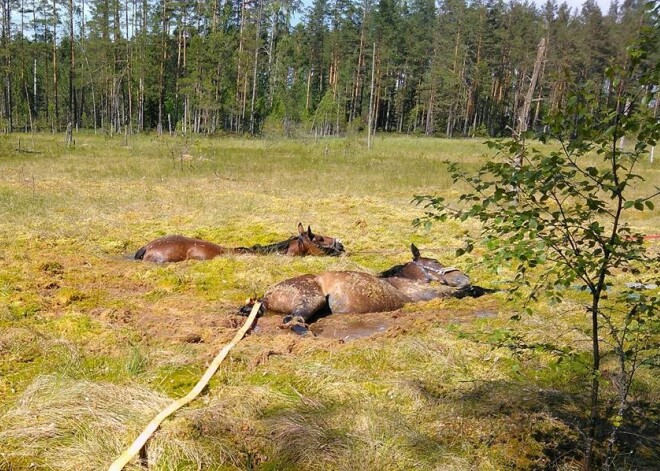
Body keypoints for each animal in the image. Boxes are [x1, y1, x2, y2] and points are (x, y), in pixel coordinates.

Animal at [238, 245, 484, 334]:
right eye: (434, 262)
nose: (463, 276)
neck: (396, 282)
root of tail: (266, 297)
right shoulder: (427, 296)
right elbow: (459, 293)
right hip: (310, 300)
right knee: (294, 320)